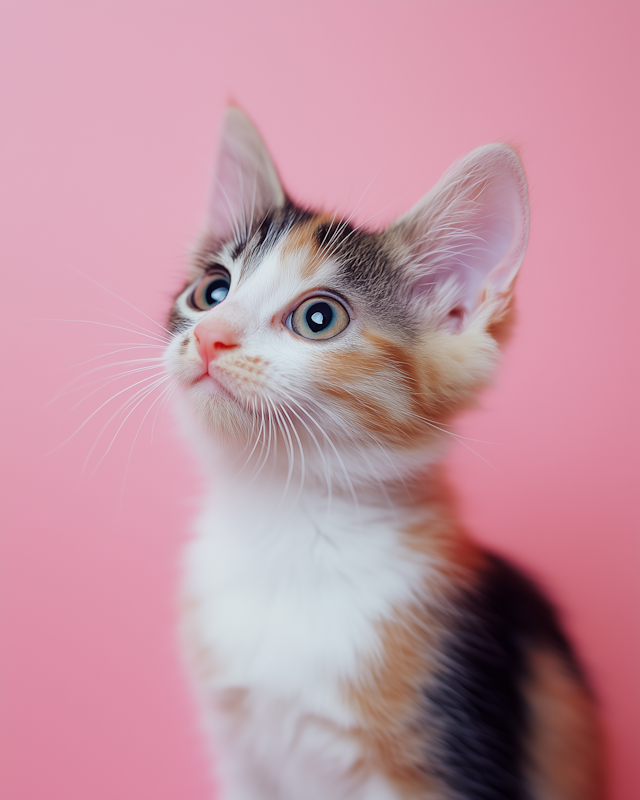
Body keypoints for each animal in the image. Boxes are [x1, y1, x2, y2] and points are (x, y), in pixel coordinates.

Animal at [162, 108, 604, 800]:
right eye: (211, 291)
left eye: (319, 319)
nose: (209, 336)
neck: (282, 520)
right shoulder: (240, 754)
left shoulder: (456, 739)